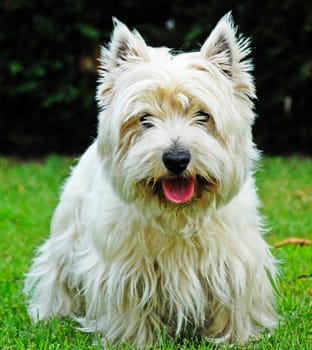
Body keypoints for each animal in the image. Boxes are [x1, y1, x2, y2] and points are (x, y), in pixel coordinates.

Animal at [24, 13, 278, 348]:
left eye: (203, 116)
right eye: (144, 119)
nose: (176, 159)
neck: (178, 216)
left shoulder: (233, 260)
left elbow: (232, 300)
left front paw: (234, 337)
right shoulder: (124, 269)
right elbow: (131, 306)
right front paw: (135, 340)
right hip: (67, 237)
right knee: (57, 277)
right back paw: (52, 314)